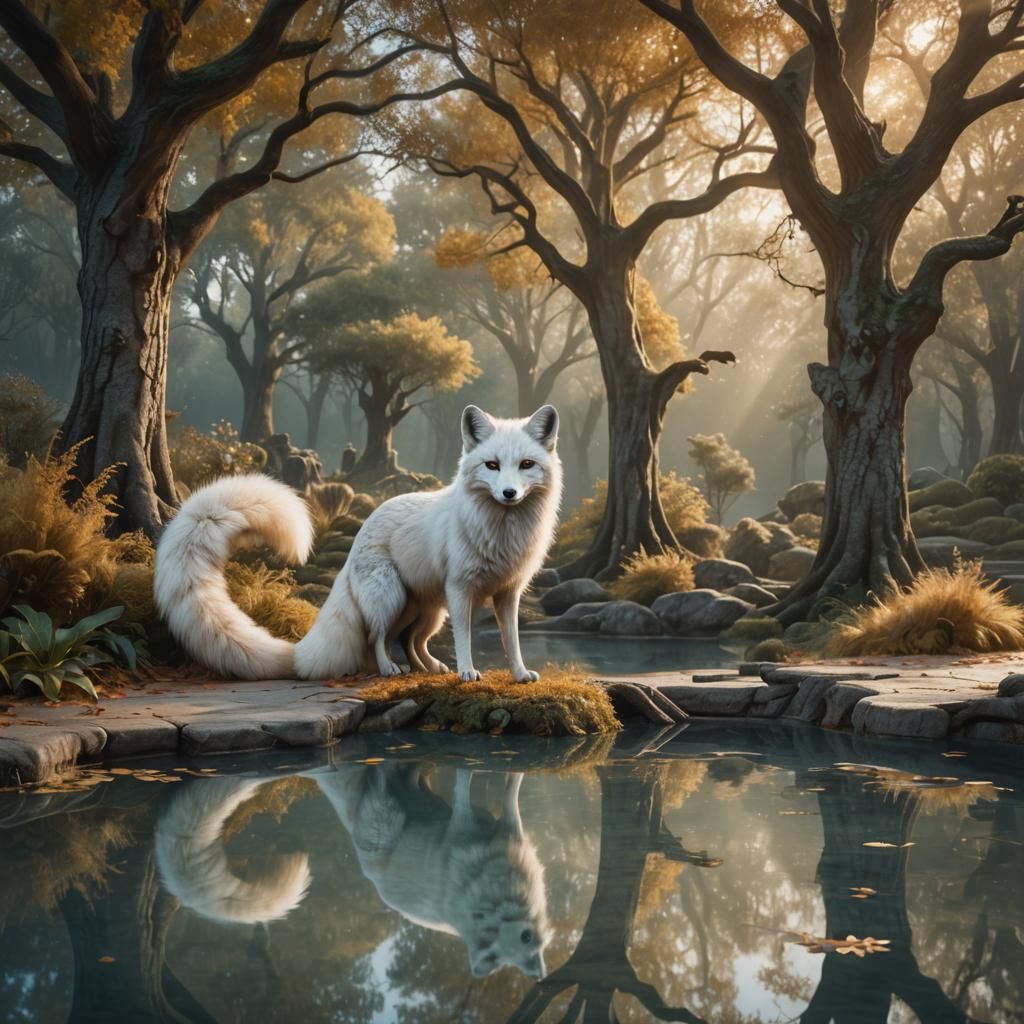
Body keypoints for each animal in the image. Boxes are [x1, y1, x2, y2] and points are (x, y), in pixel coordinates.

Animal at [153, 405, 562, 682]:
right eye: (491, 465)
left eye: (526, 465)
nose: (509, 493)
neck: (503, 530)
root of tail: (357, 538)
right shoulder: (461, 589)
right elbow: (465, 639)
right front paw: (468, 672)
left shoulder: (508, 592)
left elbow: (512, 639)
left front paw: (520, 674)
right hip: (394, 598)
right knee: (376, 637)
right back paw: (390, 669)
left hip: (427, 610)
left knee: (411, 641)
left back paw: (427, 668)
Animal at [312, 764, 549, 978]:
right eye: (525, 937)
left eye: (531, 949)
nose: (540, 975)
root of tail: (351, 829)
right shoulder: (461, 821)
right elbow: (463, 783)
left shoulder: (511, 831)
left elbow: (513, 789)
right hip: (390, 815)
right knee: (381, 776)